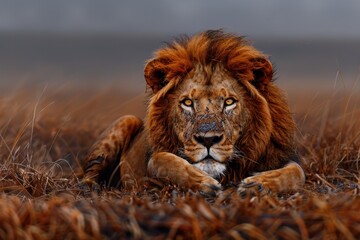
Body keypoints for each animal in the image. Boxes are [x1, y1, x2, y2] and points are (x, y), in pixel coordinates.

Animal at [83, 30, 306, 195]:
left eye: (229, 102)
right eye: (187, 103)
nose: (208, 140)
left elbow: (298, 172)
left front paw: (257, 185)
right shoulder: (150, 164)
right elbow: (160, 159)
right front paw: (204, 184)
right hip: (125, 120)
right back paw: (89, 188)